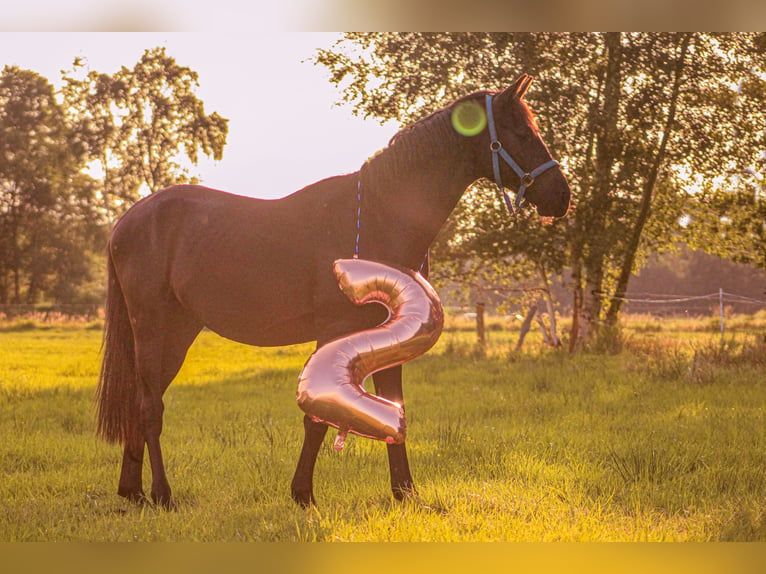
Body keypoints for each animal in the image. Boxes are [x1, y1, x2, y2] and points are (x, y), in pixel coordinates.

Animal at [94, 74, 568, 510]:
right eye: (522, 132)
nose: (561, 197)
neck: (378, 214)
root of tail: (126, 221)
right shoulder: (334, 331)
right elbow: (318, 418)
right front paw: (303, 495)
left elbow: (394, 408)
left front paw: (406, 495)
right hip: (154, 328)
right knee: (150, 409)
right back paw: (162, 494)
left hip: (177, 332)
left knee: (140, 403)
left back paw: (133, 492)